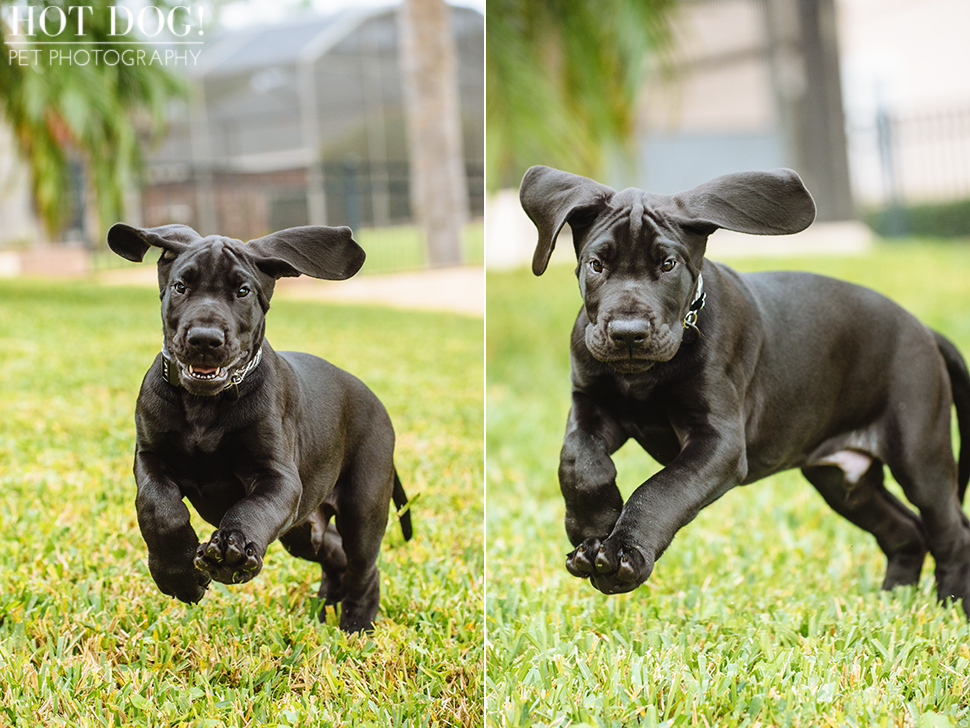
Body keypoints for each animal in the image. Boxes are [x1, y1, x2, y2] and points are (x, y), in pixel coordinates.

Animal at [109, 222, 412, 632]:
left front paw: (232, 554)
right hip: (303, 529)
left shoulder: (279, 478)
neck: (205, 404)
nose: (204, 339)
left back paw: (355, 624)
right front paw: (178, 575)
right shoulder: (150, 456)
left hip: (363, 508)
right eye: (180, 286)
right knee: (333, 551)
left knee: (364, 567)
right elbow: (157, 507)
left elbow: (251, 509)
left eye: (243, 291)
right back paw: (326, 608)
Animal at [520, 166, 970, 616]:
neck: (643, 375)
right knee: (907, 530)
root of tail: (925, 329)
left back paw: (950, 604)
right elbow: (577, 460)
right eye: (596, 264)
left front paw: (625, 553)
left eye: (668, 264)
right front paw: (591, 529)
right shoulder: (590, 404)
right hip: (843, 482)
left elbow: (662, 490)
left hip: (919, 458)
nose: (628, 334)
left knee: (950, 531)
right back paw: (894, 597)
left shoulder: (719, 443)